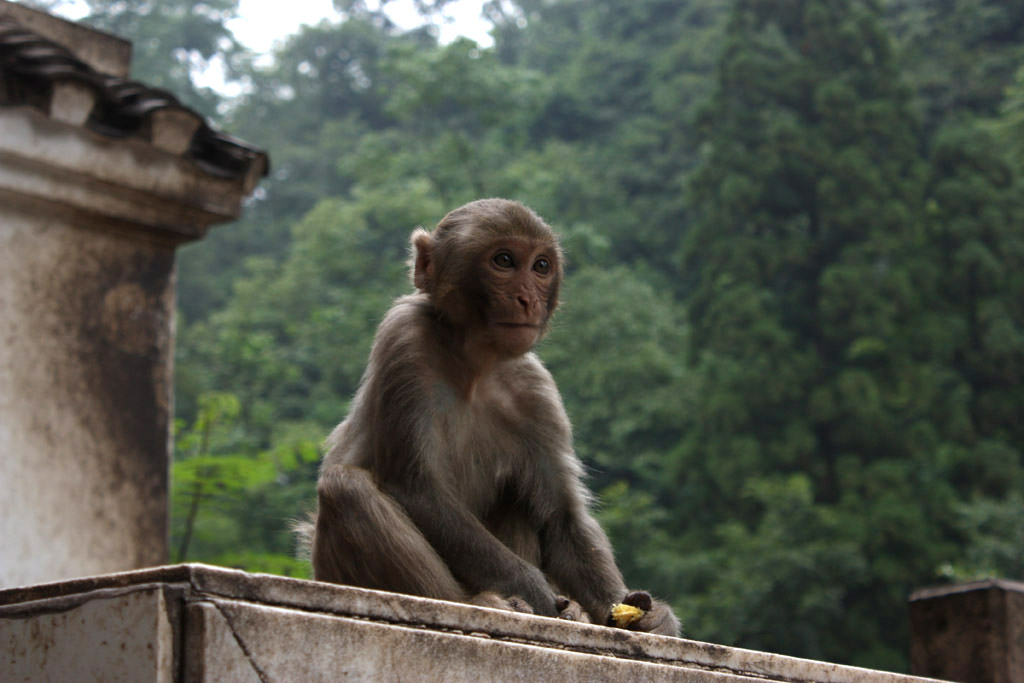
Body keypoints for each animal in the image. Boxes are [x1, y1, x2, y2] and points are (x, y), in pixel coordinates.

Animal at [305, 198, 688, 643]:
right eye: (504, 261)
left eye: (540, 266)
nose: (527, 299)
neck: (474, 366)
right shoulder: (404, 340)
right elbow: (417, 488)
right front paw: (532, 589)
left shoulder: (537, 392)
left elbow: (561, 520)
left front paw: (648, 617)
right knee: (345, 487)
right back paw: (481, 602)